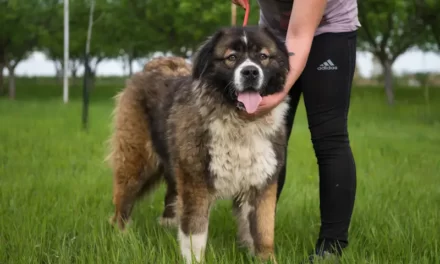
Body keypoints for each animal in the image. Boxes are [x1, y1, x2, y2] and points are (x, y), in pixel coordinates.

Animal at [106, 25, 290, 264]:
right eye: (232, 57)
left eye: (263, 57)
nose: (250, 71)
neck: (239, 120)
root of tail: (156, 63)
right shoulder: (196, 182)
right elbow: (195, 232)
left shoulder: (261, 183)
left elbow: (263, 230)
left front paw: (265, 258)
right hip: (137, 163)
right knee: (123, 200)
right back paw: (121, 235)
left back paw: (167, 224)